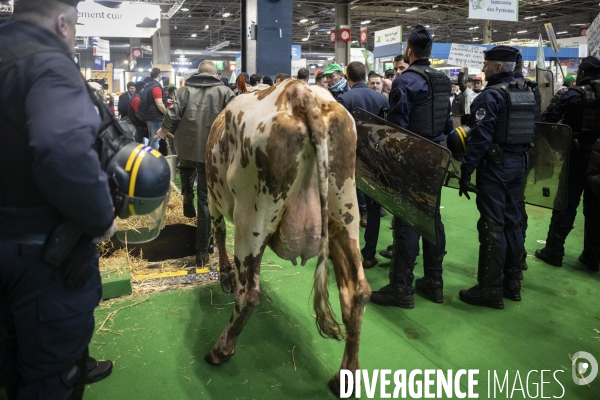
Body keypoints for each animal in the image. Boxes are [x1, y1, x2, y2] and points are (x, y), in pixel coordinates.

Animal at [203, 79, 370, 394]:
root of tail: (301, 94)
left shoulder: (211, 198)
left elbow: (217, 232)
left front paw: (224, 274)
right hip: (345, 211)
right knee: (357, 292)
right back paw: (344, 377)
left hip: (251, 218)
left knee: (248, 292)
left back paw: (220, 350)